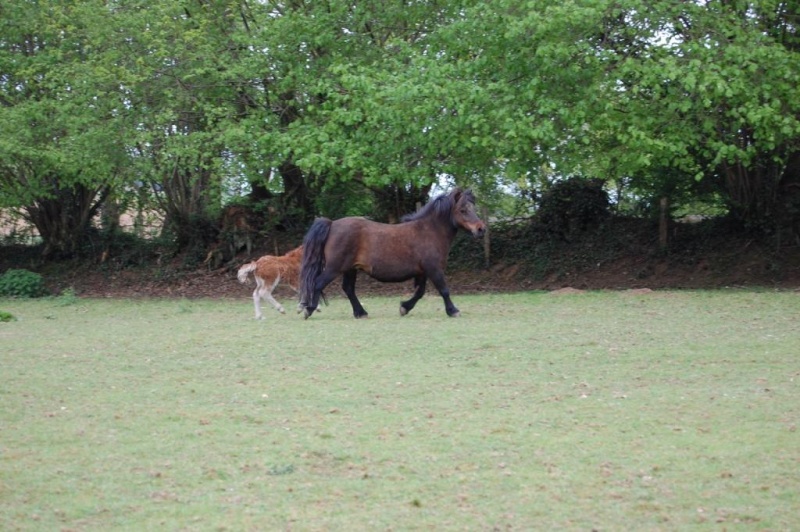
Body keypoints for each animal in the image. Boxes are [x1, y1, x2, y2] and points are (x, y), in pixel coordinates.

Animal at [300, 188, 488, 320]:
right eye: (463, 210)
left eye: (473, 208)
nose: (481, 229)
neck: (430, 231)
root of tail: (332, 224)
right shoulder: (434, 269)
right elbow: (444, 290)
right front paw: (453, 311)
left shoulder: (423, 272)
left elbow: (420, 292)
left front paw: (405, 307)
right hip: (335, 268)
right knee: (318, 283)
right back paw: (309, 310)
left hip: (350, 269)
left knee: (348, 289)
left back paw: (361, 313)